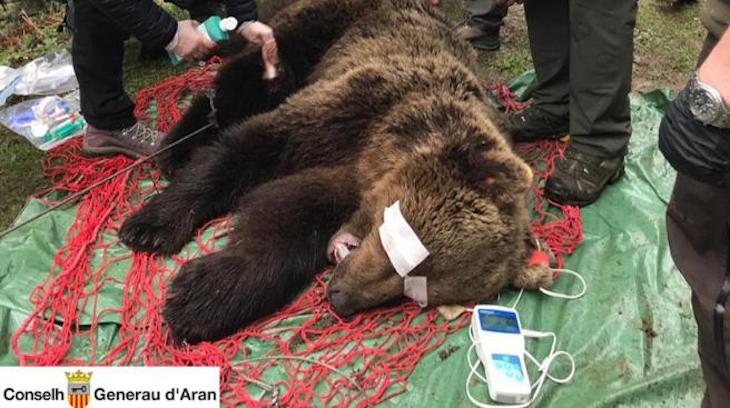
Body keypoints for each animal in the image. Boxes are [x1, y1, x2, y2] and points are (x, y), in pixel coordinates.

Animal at [119, 0, 554, 344]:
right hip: (321, 29)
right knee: (246, 81)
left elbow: (284, 223)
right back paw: (179, 145)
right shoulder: (355, 110)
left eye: (415, 291)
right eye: (400, 248)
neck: (383, 147)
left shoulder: (351, 181)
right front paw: (154, 230)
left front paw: (205, 295)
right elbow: (247, 150)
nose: (341, 298)